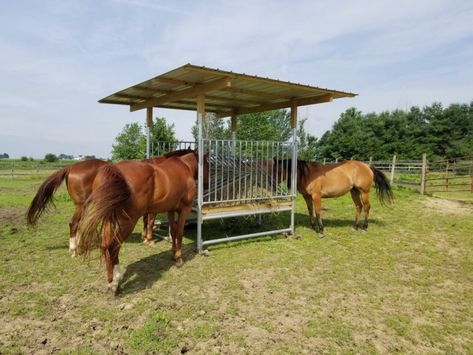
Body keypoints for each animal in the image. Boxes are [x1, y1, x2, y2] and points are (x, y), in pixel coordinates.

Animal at [75, 152, 199, 294]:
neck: (184, 167)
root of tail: (113, 170)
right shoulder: (184, 209)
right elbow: (179, 233)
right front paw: (178, 258)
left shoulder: (171, 210)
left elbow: (173, 232)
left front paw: (173, 254)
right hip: (128, 222)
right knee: (113, 246)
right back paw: (115, 282)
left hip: (109, 220)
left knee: (105, 245)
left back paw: (112, 279)